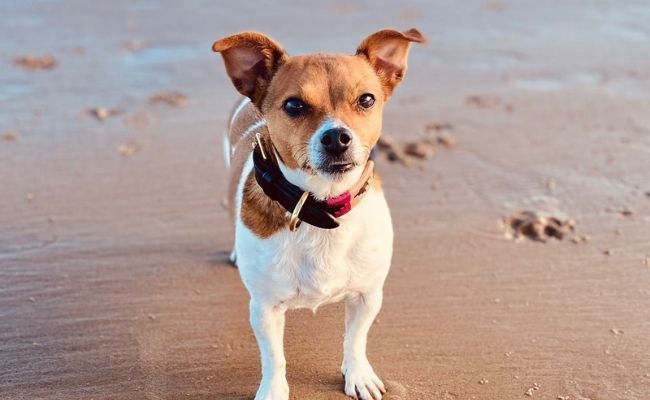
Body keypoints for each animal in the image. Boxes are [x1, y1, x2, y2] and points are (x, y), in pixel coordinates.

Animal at [213, 28, 426, 400]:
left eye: (366, 100)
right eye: (294, 105)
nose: (337, 136)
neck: (321, 206)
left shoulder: (368, 296)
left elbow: (355, 340)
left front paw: (358, 374)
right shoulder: (264, 309)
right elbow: (274, 358)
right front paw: (273, 391)